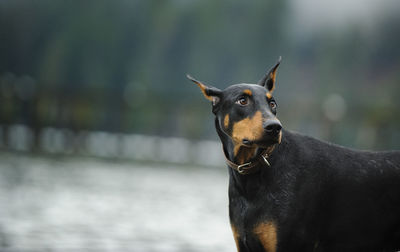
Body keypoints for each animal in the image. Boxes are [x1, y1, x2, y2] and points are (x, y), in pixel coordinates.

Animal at [188, 58, 400, 251]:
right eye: (242, 100)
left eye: (272, 103)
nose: (274, 127)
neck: (250, 180)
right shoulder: (245, 244)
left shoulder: (290, 243)